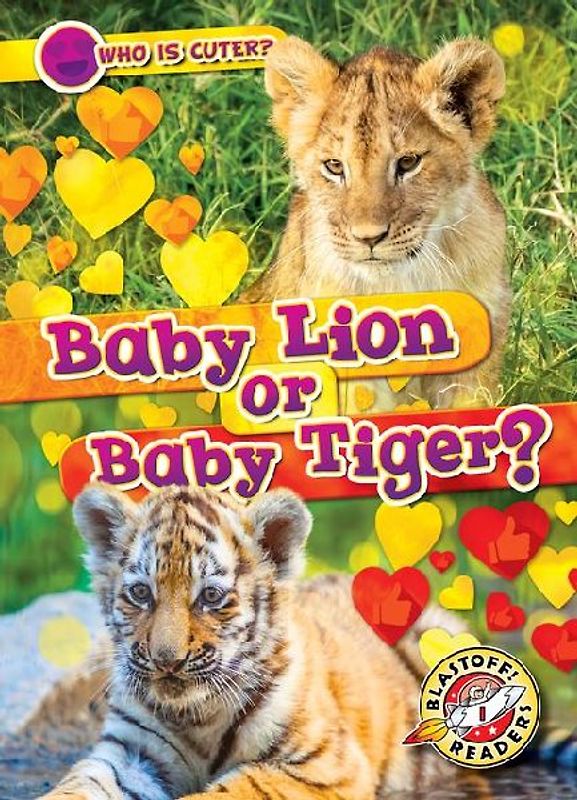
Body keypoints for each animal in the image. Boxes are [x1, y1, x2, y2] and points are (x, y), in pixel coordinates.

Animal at [37, 483, 464, 800]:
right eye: (141, 593)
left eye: (211, 596)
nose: (166, 660)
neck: (197, 716)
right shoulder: (130, 752)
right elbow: (79, 783)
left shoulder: (325, 765)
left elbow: (233, 789)